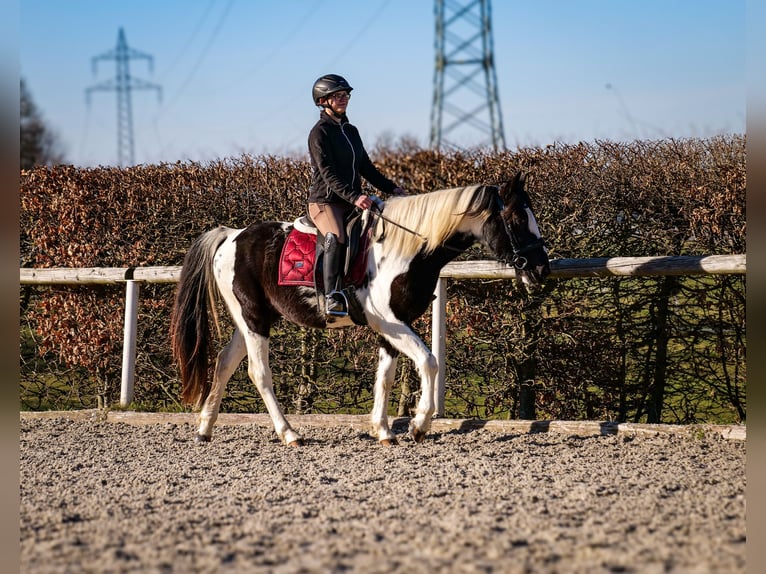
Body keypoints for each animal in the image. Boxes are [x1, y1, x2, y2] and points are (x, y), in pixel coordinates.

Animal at [170, 173, 548, 448]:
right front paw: (419, 425)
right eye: (517, 218)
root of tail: (231, 235)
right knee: (259, 373)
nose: (541, 269)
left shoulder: (394, 325)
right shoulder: (390, 321)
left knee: (224, 363)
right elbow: (429, 361)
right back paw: (289, 433)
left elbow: (386, 375)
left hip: (252, 318)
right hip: (253, 319)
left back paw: (205, 429)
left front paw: (384, 430)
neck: (407, 249)